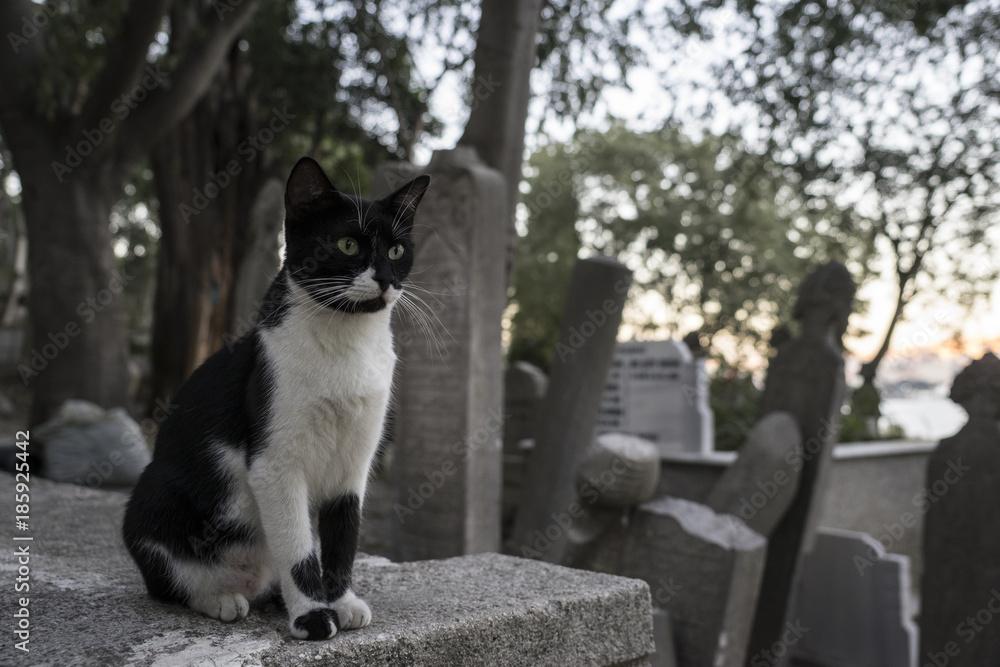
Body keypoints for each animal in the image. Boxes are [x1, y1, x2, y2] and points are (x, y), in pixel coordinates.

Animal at [122, 157, 430, 640]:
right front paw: (314, 616)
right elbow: (299, 547)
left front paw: (340, 601)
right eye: (346, 244)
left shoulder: (355, 463)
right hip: (153, 497)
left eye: (397, 251)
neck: (347, 344)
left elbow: (343, 536)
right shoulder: (275, 462)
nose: (384, 277)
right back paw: (221, 599)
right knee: (169, 582)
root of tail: (249, 582)